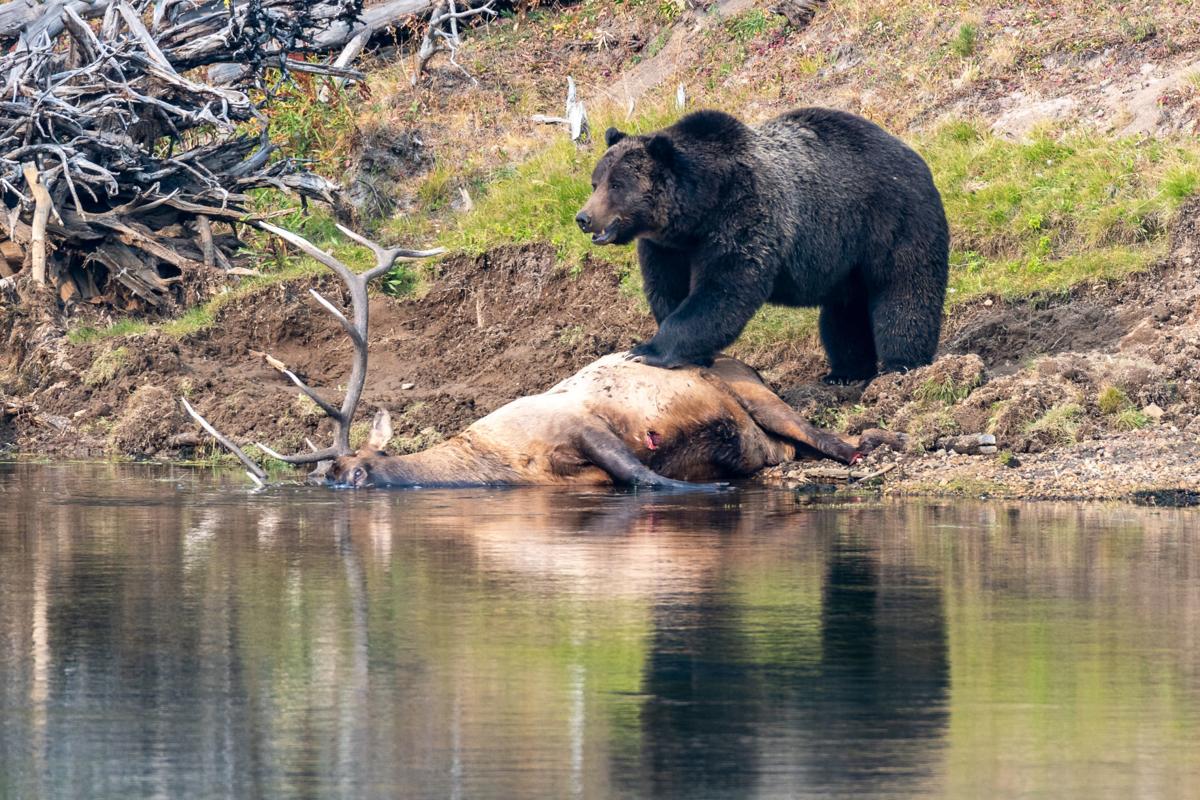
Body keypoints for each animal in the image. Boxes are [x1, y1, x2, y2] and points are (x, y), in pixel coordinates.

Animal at [575, 107, 950, 383]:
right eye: (595, 182)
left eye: (617, 184)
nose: (583, 217)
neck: (699, 210)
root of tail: (914, 154)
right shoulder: (667, 246)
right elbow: (667, 289)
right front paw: (691, 352)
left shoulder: (745, 213)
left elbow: (724, 290)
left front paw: (646, 349)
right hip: (846, 260)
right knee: (844, 313)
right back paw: (845, 372)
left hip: (892, 221)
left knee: (904, 290)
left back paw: (901, 365)